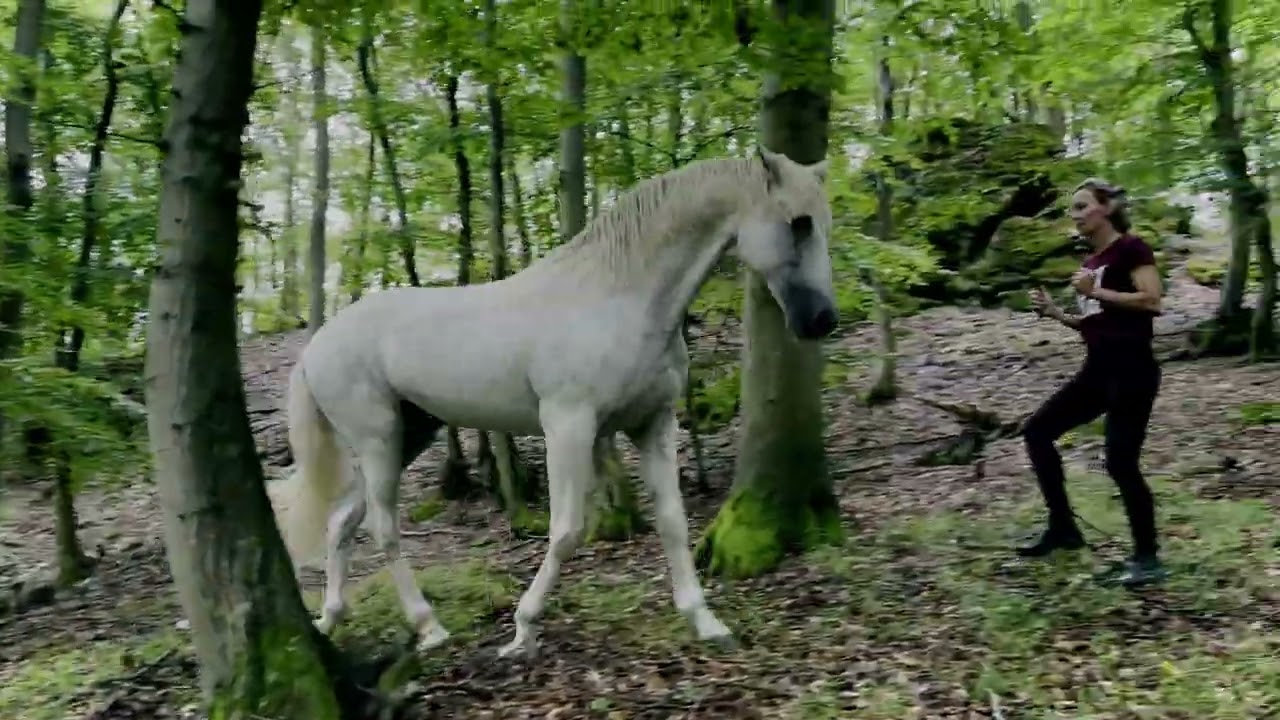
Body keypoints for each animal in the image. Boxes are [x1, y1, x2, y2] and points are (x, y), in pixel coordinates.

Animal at [267, 145, 837, 659]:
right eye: (798, 223)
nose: (822, 321)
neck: (619, 299)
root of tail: (316, 345)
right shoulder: (569, 427)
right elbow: (566, 532)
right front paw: (522, 631)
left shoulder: (653, 424)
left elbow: (673, 521)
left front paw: (705, 621)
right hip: (378, 440)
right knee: (383, 529)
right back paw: (429, 627)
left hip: (409, 436)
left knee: (342, 522)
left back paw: (331, 617)